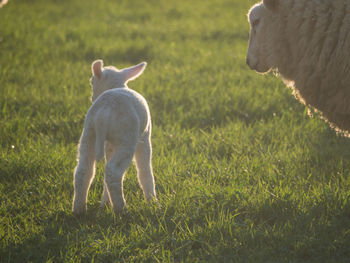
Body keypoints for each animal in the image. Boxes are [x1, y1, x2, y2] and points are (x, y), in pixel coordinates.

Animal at [72, 60, 156, 217]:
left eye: (92, 82)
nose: (91, 99)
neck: (117, 85)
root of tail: (104, 111)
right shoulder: (145, 137)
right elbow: (145, 171)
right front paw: (153, 203)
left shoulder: (109, 145)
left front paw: (105, 203)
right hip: (126, 138)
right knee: (113, 172)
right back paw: (122, 210)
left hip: (89, 134)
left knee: (83, 171)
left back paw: (78, 210)